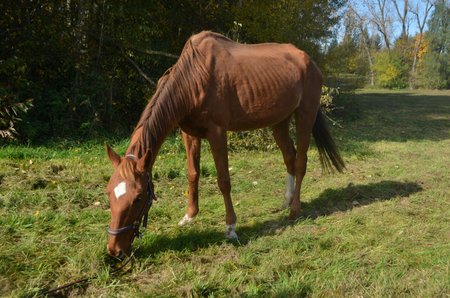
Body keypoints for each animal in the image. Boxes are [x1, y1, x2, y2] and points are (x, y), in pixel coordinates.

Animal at [105, 31, 344, 258]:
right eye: (108, 192)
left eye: (138, 198)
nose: (114, 250)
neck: (195, 77)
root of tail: (310, 62)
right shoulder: (189, 134)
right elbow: (193, 174)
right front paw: (189, 216)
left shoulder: (217, 132)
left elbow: (223, 181)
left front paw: (230, 227)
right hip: (280, 122)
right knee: (290, 158)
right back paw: (287, 201)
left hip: (305, 115)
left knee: (301, 162)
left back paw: (294, 210)